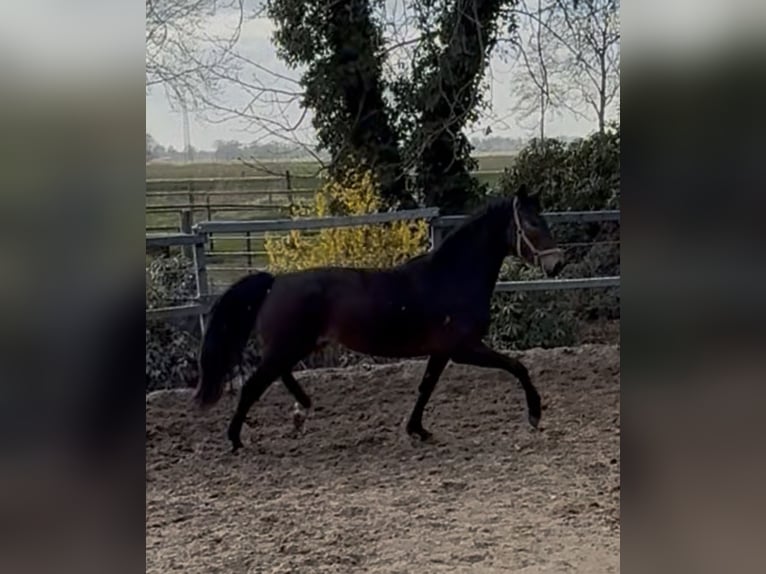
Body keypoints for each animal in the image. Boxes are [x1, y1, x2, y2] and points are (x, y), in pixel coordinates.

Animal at [194, 185, 565, 452]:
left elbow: (426, 387)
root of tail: (275, 282)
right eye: (531, 224)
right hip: (289, 345)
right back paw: (237, 439)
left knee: (277, 376)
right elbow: (517, 366)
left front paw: (417, 430)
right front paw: (534, 414)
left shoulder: (442, 351)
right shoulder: (465, 348)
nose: (557, 263)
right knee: (253, 385)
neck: (452, 278)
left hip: (297, 345)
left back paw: (302, 409)